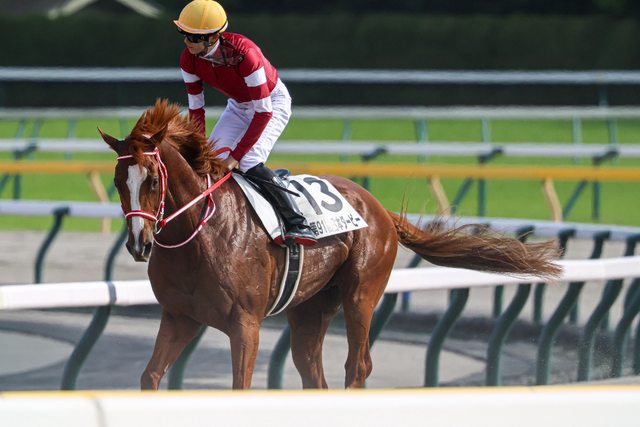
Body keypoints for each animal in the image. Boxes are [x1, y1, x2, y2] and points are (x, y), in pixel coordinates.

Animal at [99, 99, 561, 390]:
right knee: (313, 374)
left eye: (152, 180)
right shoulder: (180, 316)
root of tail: (378, 207)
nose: (139, 244)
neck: (199, 235)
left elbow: (240, 384)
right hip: (310, 308)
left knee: (358, 366)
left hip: (361, 293)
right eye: (119, 181)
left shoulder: (244, 323)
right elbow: (150, 377)